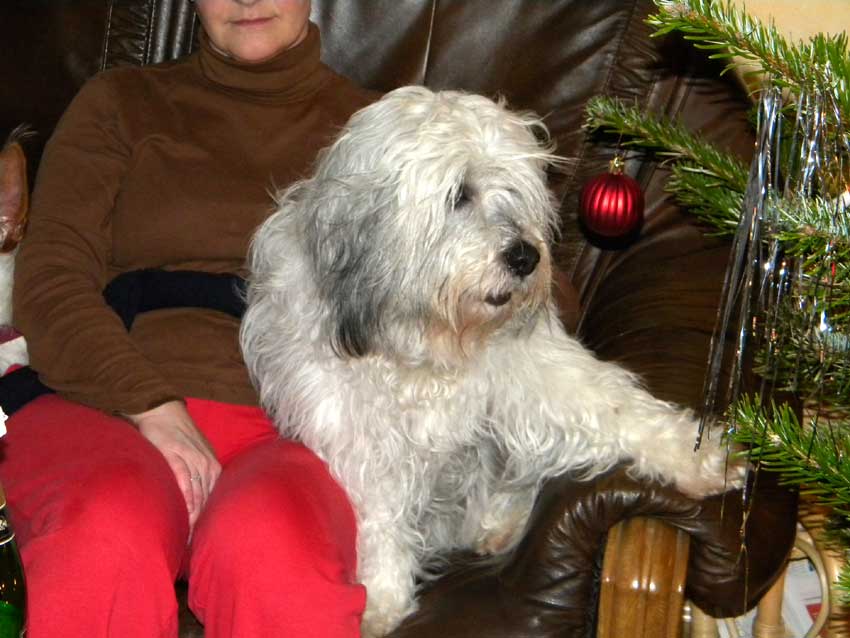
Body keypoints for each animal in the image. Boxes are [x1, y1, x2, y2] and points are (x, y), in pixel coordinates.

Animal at [240, 86, 741, 637]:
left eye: (516, 193)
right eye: (459, 194)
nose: (526, 258)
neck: (429, 344)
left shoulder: (537, 370)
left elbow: (616, 410)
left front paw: (696, 456)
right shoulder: (351, 427)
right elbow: (380, 513)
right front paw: (381, 598)